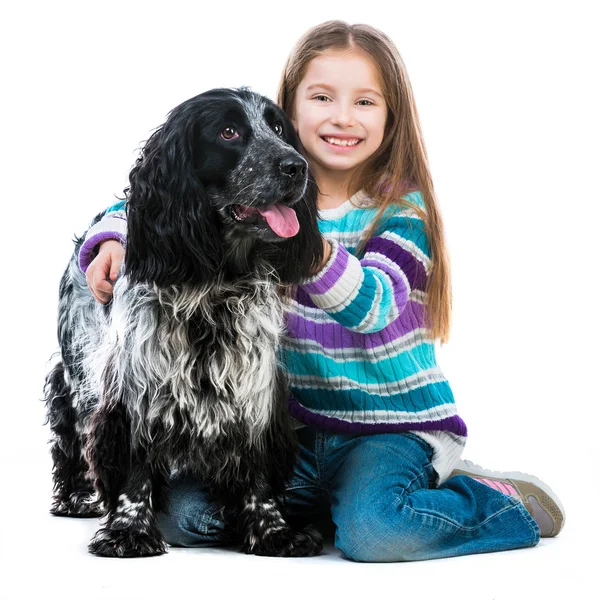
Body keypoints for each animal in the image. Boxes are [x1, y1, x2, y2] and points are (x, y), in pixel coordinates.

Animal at [42, 88, 326, 556]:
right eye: (228, 132)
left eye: (278, 127)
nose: (296, 166)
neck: (215, 281)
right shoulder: (132, 388)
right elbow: (134, 465)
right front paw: (128, 531)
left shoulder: (255, 389)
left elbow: (258, 469)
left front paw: (273, 531)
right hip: (76, 371)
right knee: (71, 433)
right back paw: (77, 497)